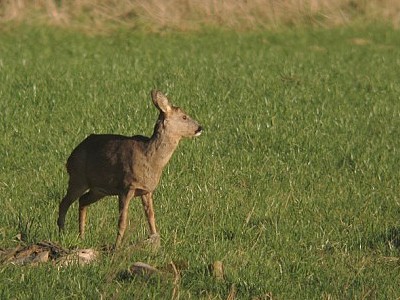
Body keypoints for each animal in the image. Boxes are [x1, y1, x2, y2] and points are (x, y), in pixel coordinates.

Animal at [56, 89, 203, 248]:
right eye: (184, 116)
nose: (200, 127)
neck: (150, 158)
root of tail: (70, 157)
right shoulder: (126, 187)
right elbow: (122, 221)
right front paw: (117, 247)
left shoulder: (146, 190)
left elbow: (151, 217)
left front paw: (156, 242)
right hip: (78, 178)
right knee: (64, 203)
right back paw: (61, 234)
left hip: (99, 189)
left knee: (82, 200)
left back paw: (81, 236)